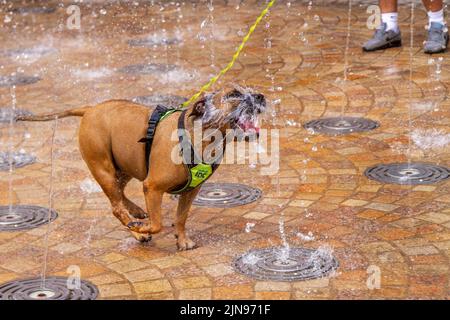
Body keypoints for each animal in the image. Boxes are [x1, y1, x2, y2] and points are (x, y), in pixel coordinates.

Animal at [18, 87, 268, 250]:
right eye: (233, 94)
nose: (260, 96)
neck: (201, 137)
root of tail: (90, 109)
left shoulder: (191, 190)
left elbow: (181, 217)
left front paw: (181, 239)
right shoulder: (153, 187)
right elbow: (157, 224)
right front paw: (143, 228)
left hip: (125, 167)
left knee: (119, 197)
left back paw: (136, 212)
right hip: (103, 168)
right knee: (116, 208)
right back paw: (136, 228)